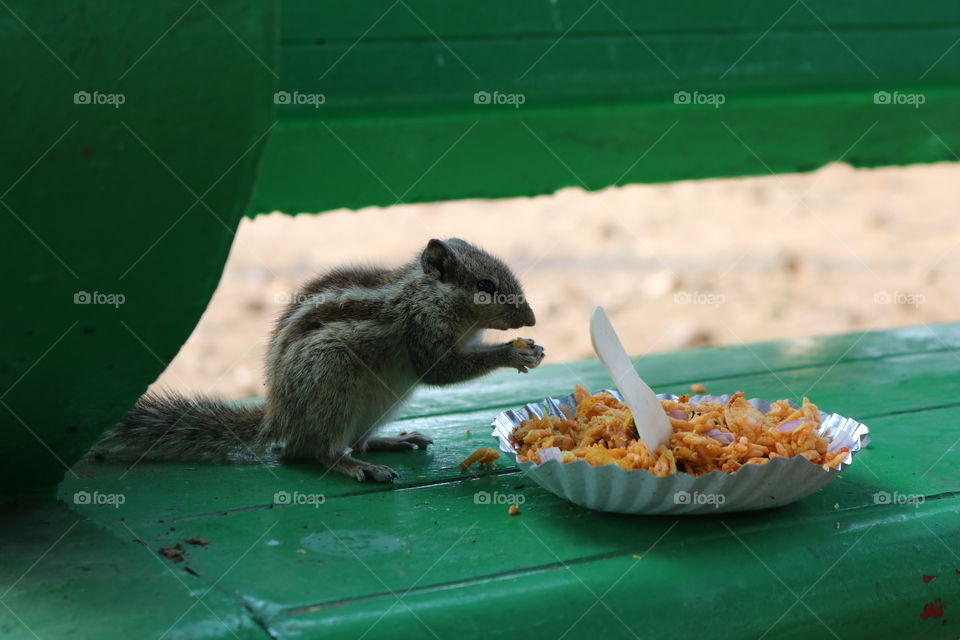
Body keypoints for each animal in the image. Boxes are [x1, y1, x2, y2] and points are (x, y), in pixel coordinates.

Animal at [89, 238, 545, 482]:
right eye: (484, 286)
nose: (531, 319)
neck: (426, 294)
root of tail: (277, 416)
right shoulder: (422, 332)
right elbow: (443, 370)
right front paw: (514, 352)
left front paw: (533, 348)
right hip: (333, 375)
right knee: (311, 451)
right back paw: (357, 466)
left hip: (382, 402)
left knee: (345, 440)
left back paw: (391, 441)